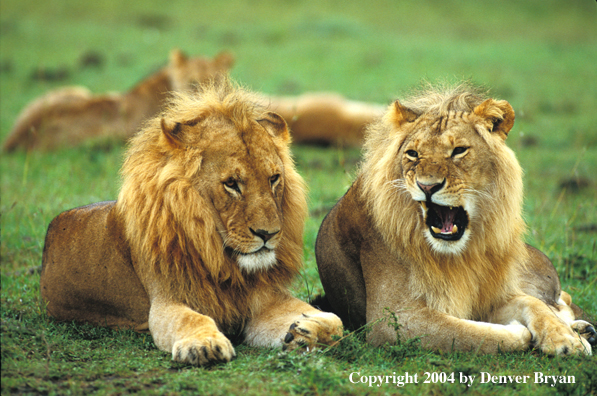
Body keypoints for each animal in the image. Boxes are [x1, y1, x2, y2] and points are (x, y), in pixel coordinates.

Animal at [39, 77, 342, 366]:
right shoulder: (165, 301)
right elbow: (191, 318)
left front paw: (308, 329)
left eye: (274, 178)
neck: (221, 258)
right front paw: (204, 344)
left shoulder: (263, 301)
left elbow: (336, 321)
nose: (268, 234)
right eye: (231, 183)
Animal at [314, 83, 592, 356]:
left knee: (558, 301)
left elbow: (530, 305)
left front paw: (567, 339)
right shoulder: (393, 318)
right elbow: (471, 334)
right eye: (413, 154)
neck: (458, 255)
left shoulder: (492, 296)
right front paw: (519, 331)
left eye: (459, 151)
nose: (427, 186)